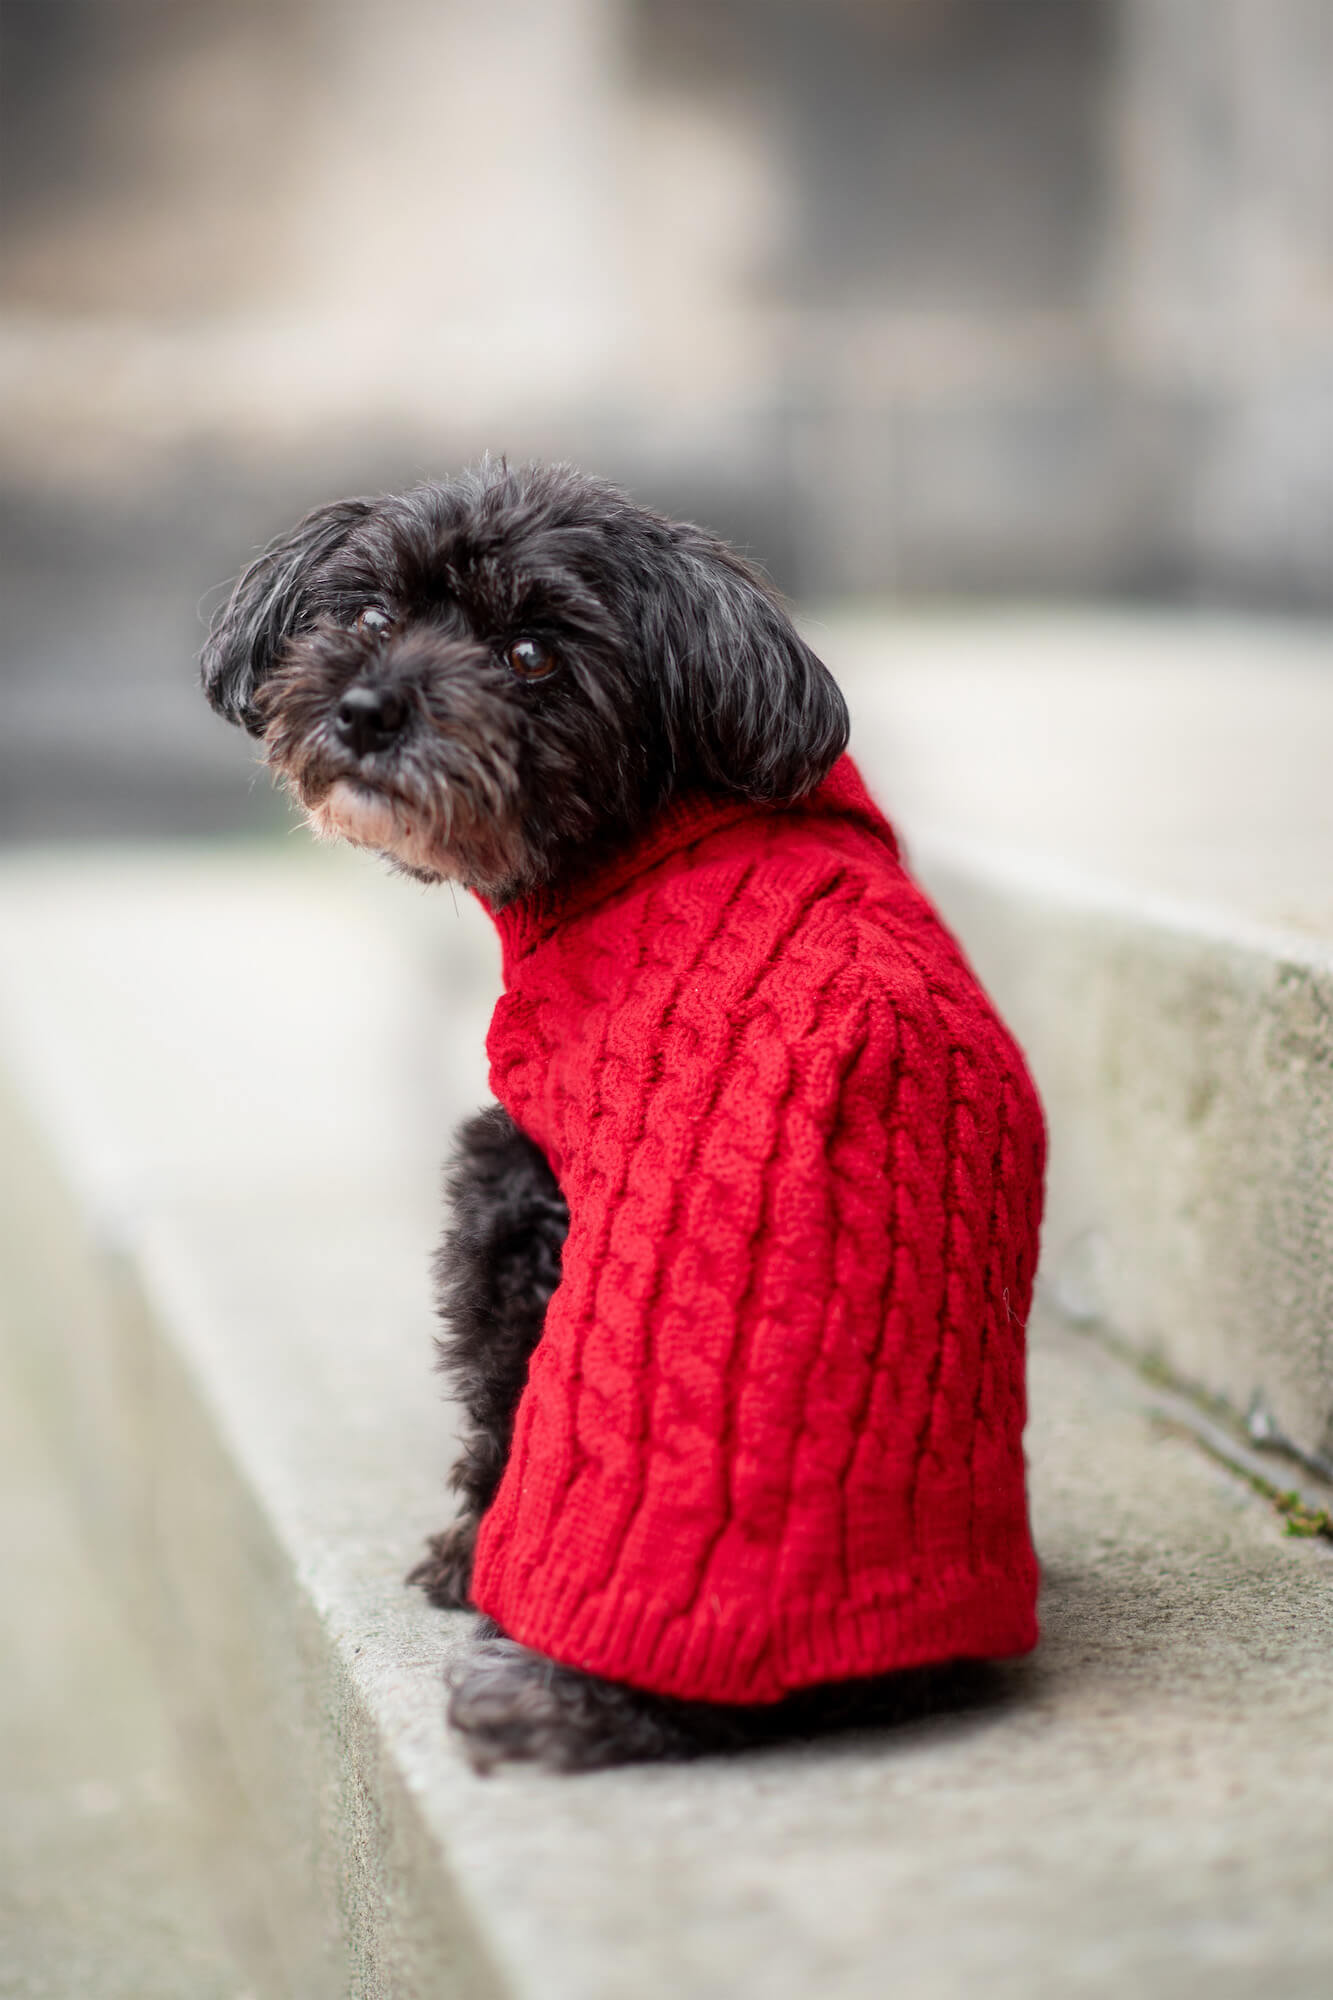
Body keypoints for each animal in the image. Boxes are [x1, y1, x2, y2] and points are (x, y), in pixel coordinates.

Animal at [202, 472, 1040, 1784]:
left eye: (532, 654)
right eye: (372, 610)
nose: (368, 708)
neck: (649, 828)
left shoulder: (525, 1193)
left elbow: (495, 1390)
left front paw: (462, 1556)